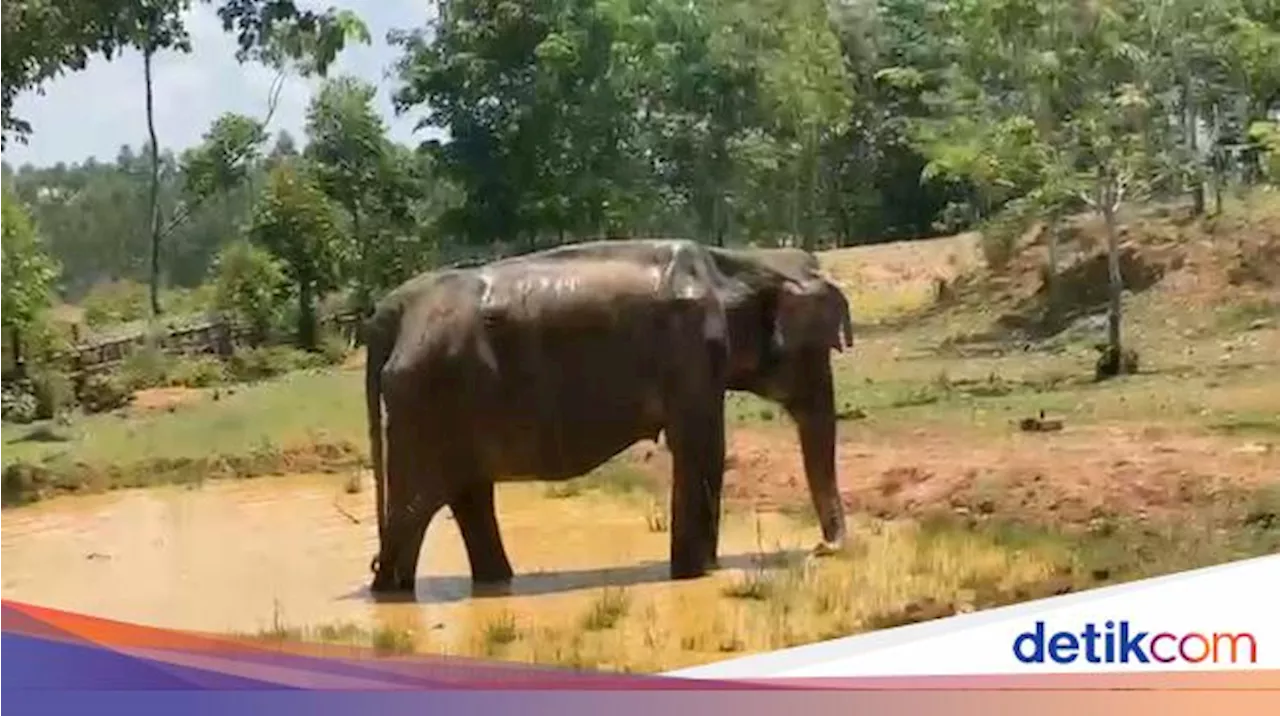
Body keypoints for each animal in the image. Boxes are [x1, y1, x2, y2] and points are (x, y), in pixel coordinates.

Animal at [366, 238, 855, 596]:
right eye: (817, 350)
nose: (823, 548)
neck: (739, 263)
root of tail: (392, 311)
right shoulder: (692, 354)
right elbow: (701, 448)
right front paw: (696, 574)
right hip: (426, 402)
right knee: (418, 507)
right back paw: (389, 591)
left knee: (466, 495)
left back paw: (487, 583)